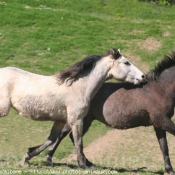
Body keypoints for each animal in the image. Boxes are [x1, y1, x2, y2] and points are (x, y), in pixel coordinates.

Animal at [0, 48, 145, 167]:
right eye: (126, 62)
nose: (142, 76)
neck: (78, 87)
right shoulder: (77, 120)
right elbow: (78, 141)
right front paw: (83, 165)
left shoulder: (60, 120)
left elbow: (51, 139)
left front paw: (27, 156)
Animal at [29, 51, 175, 174]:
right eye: (126, 62)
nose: (142, 76)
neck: (158, 89)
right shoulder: (162, 121)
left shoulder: (158, 124)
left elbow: (164, 147)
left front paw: (169, 169)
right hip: (77, 119)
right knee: (63, 135)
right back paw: (49, 158)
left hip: (86, 120)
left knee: (70, 137)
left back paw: (86, 162)